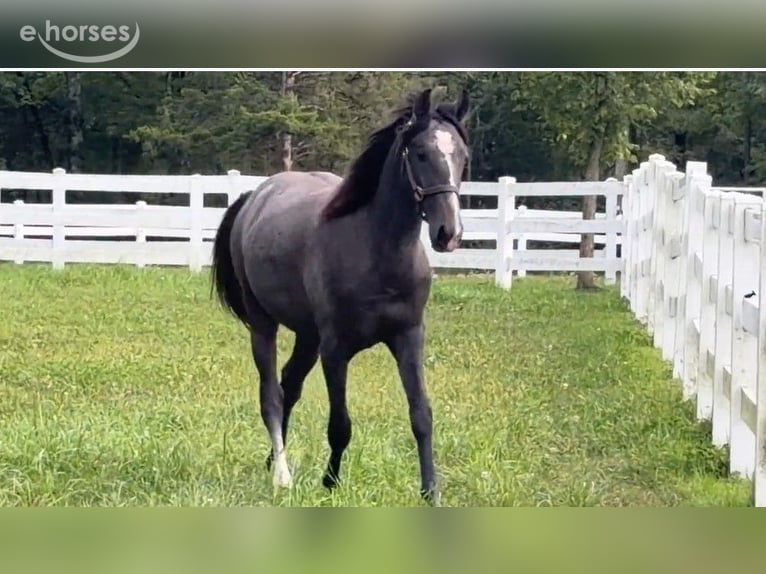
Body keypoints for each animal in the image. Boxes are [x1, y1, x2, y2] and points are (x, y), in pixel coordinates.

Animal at [210, 88, 470, 502]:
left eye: (463, 156)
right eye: (420, 153)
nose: (449, 233)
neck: (375, 250)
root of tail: (255, 195)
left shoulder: (409, 337)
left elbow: (421, 416)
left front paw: (430, 491)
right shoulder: (336, 349)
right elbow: (340, 423)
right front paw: (330, 482)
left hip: (307, 336)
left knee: (289, 385)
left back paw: (271, 460)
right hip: (264, 326)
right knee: (271, 394)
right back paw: (281, 474)